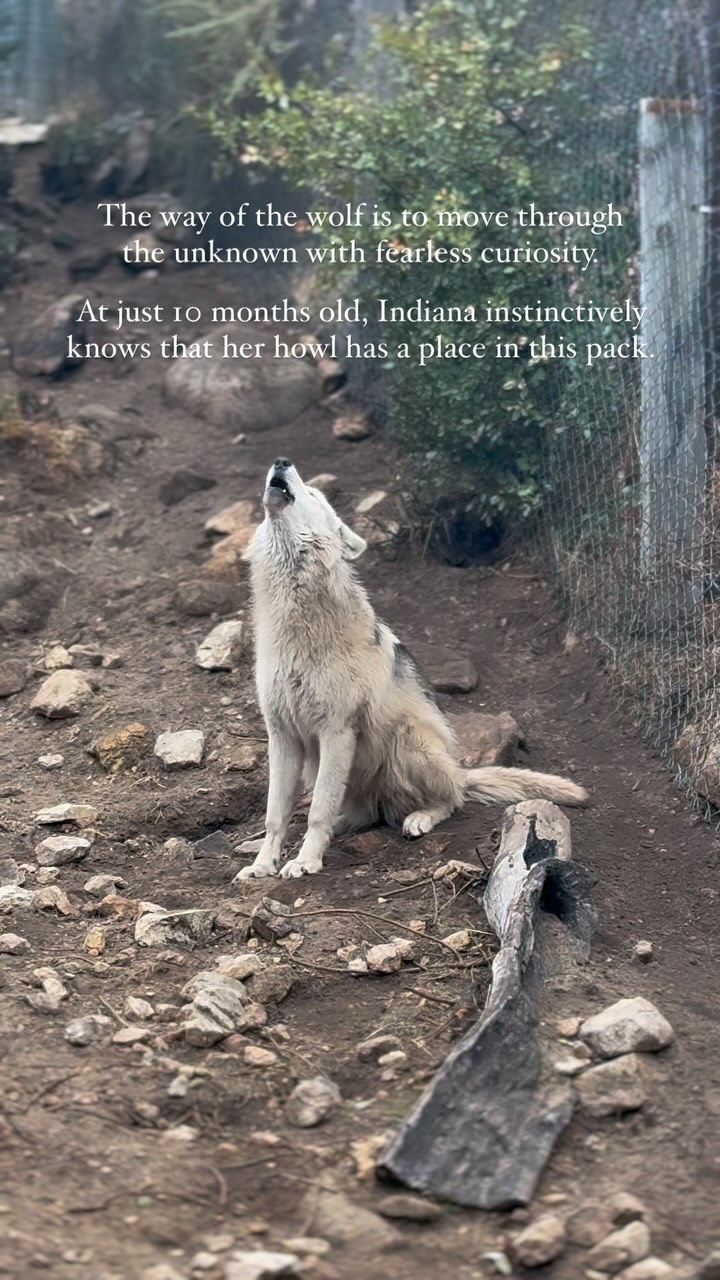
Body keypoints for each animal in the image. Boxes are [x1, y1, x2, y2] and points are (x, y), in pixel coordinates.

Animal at [234, 460, 587, 880]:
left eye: (314, 494)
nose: (282, 461)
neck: (295, 619)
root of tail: (459, 769)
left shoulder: (336, 730)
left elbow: (317, 810)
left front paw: (305, 862)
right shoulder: (282, 735)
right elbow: (276, 816)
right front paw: (262, 865)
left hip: (407, 741)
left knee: (451, 800)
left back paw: (419, 818)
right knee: (365, 813)